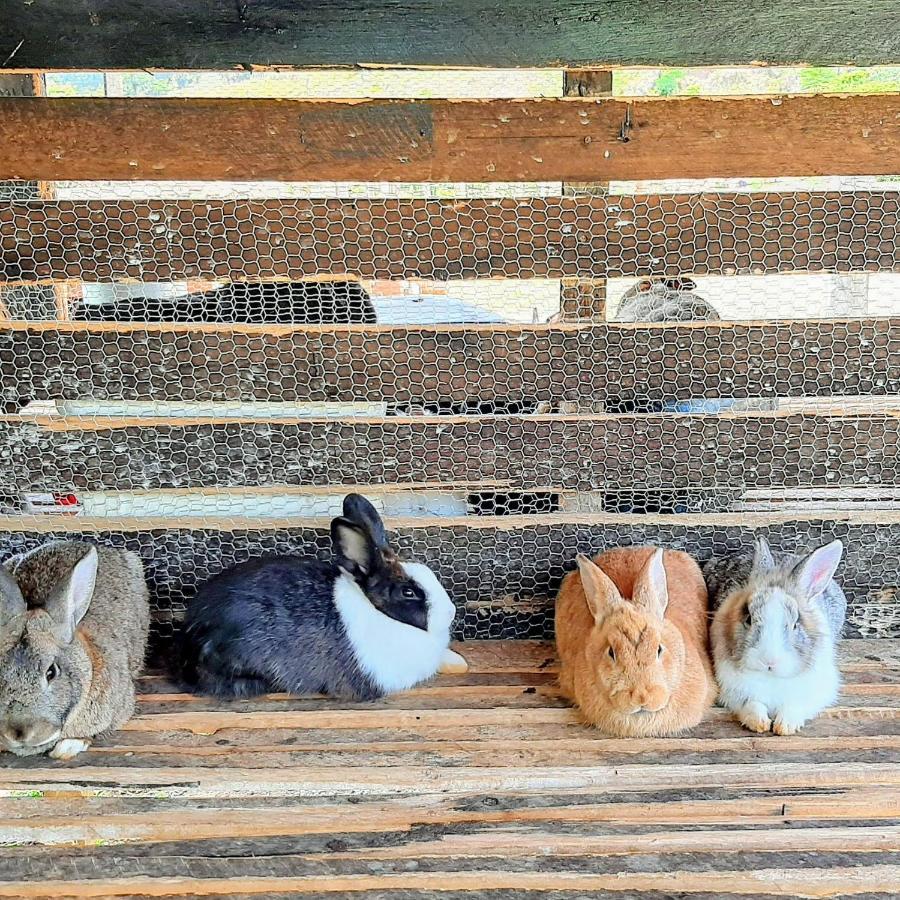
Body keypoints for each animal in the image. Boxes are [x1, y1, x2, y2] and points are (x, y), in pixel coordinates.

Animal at [708, 536, 848, 736]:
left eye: (795, 624)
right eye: (749, 619)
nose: (769, 662)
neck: (771, 677)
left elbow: (794, 706)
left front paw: (785, 726)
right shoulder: (732, 692)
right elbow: (752, 705)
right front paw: (759, 723)